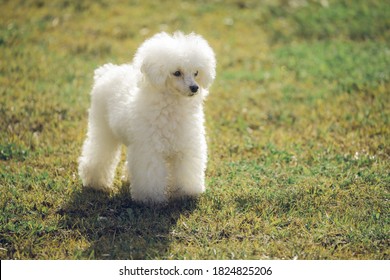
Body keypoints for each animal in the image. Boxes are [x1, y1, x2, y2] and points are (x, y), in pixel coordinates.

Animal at [76, 32, 216, 203]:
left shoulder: (186, 146)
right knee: (98, 152)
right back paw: (95, 183)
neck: (172, 106)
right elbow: (150, 174)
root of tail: (107, 72)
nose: (194, 88)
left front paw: (186, 193)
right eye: (177, 73)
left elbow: (186, 170)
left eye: (196, 73)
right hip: (102, 128)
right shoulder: (149, 150)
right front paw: (149, 198)